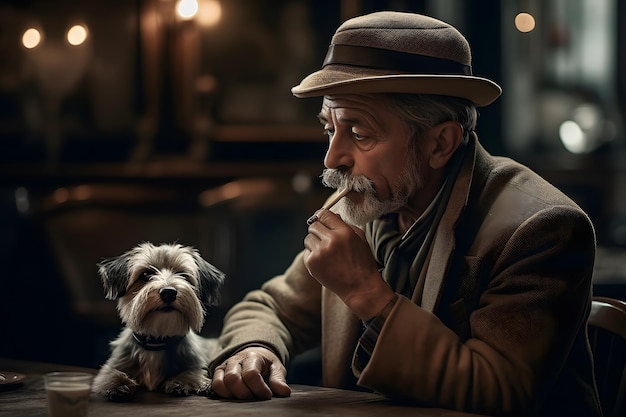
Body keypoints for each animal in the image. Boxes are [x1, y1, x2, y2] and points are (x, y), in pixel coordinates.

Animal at [92, 242, 224, 402]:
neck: (157, 340)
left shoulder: (194, 365)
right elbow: (109, 375)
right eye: (145, 275)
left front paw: (180, 382)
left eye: (183, 275)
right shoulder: (113, 366)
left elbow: (192, 373)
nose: (169, 292)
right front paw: (119, 384)